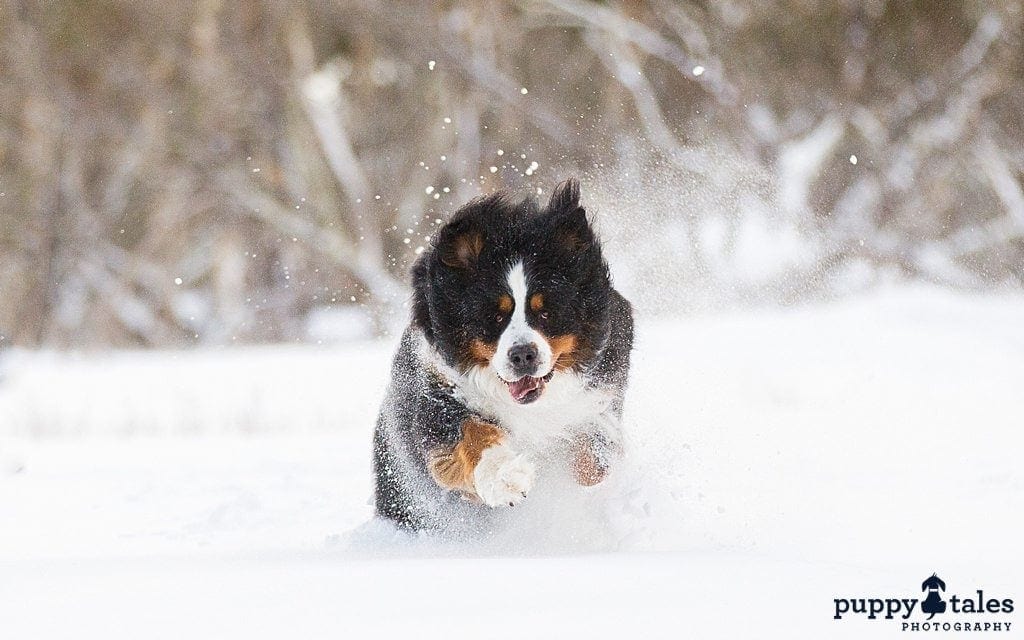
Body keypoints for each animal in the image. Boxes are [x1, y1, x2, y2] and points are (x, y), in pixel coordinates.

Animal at [376, 177, 630, 532]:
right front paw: (507, 477)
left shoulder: (604, 386)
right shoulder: (434, 397)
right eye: (494, 316)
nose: (523, 355)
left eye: (546, 312)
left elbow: (594, 445)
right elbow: (470, 434)